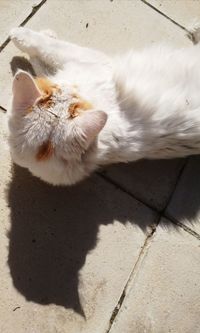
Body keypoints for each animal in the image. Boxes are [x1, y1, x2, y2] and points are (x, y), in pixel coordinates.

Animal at [8, 26, 200, 184]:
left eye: (75, 102)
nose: (73, 89)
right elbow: (47, 59)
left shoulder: (93, 63)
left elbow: (49, 50)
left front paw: (22, 33)